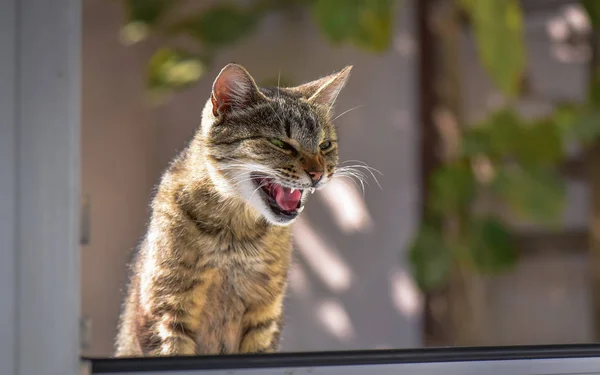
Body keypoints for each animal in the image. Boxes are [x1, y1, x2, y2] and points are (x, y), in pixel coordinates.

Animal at [113, 63, 352, 356]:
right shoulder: (166, 312)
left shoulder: (265, 315)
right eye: (281, 144)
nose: (318, 174)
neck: (235, 234)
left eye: (325, 145)